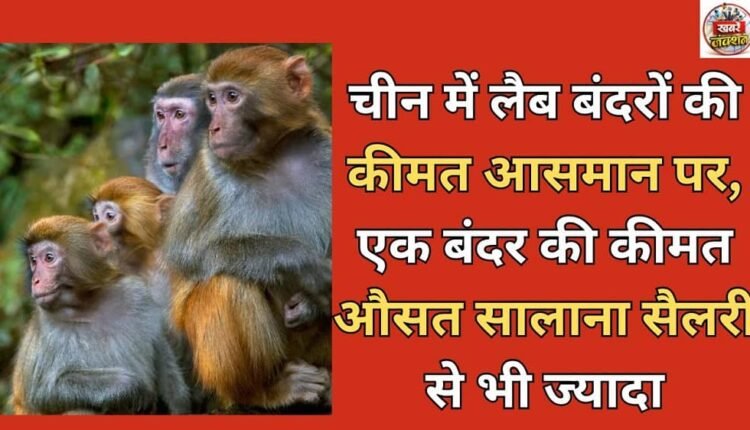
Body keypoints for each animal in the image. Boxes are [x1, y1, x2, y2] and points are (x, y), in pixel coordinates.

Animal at [11, 216, 190, 415]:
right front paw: (132, 388)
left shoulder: (138, 296)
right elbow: (43, 394)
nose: (36, 280)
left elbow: (171, 381)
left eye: (48, 258)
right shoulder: (47, 325)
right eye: (33, 261)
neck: (89, 304)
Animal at [163, 46, 332, 410]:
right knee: (227, 282)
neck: (271, 156)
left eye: (232, 97)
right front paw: (303, 262)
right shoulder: (210, 170)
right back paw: (266, 390)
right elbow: (189, 255)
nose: (214, 127)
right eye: (212, 99)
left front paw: (310, 305)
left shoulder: (324, 149)